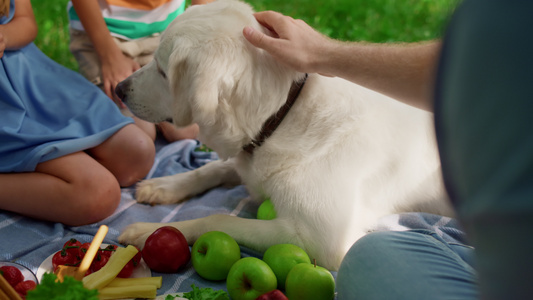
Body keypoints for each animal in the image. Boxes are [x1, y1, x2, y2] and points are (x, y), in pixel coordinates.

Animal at [115, 0, 448, 270]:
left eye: (162, 70)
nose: (118, 88)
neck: (283, 114)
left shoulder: (321, 240)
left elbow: (219, 219)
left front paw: (149, 231)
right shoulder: (250, 162)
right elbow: (212, 168)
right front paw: (164, 186)